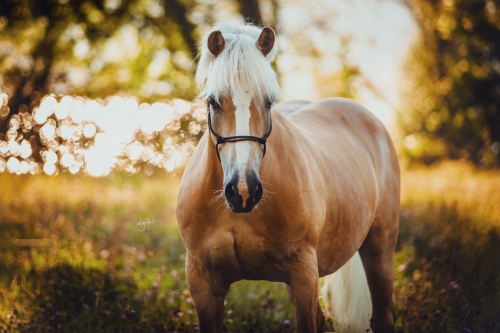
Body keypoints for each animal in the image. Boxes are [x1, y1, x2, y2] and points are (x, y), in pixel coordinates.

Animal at [178, 22, 400, 330]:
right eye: (213, 101)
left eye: (269, 101)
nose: (243, 190)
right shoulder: (202, 285)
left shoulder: (304, 275)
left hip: (380, 250)